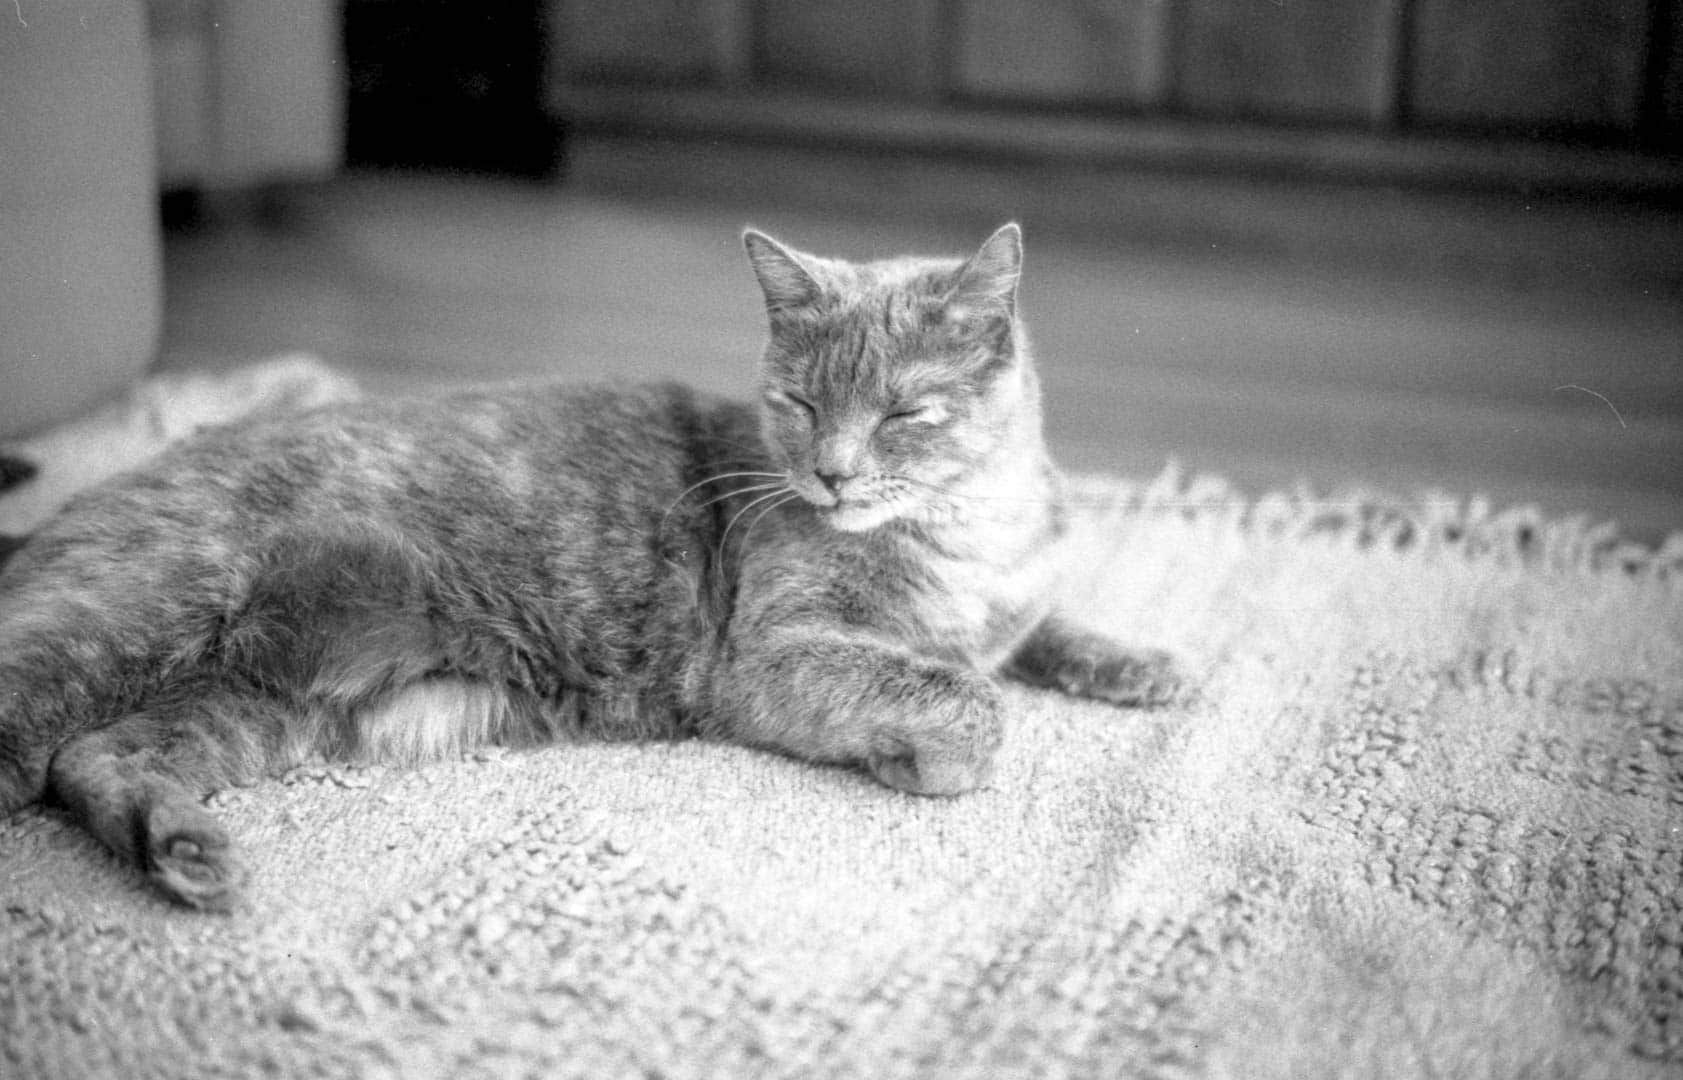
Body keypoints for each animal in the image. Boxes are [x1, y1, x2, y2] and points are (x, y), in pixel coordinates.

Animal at [0, 225, 1171, 908]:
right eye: (799, 404)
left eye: (902, 413)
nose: (832, 474)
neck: (968, 531)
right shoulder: (769, 656)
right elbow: (970, 699)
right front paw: (919, 757)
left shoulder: (1010, 596)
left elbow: (1036, 631)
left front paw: (1142, 663)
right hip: (128, 621)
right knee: (44, 744)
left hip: (252, 703)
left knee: (94, 758)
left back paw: (183, 852)